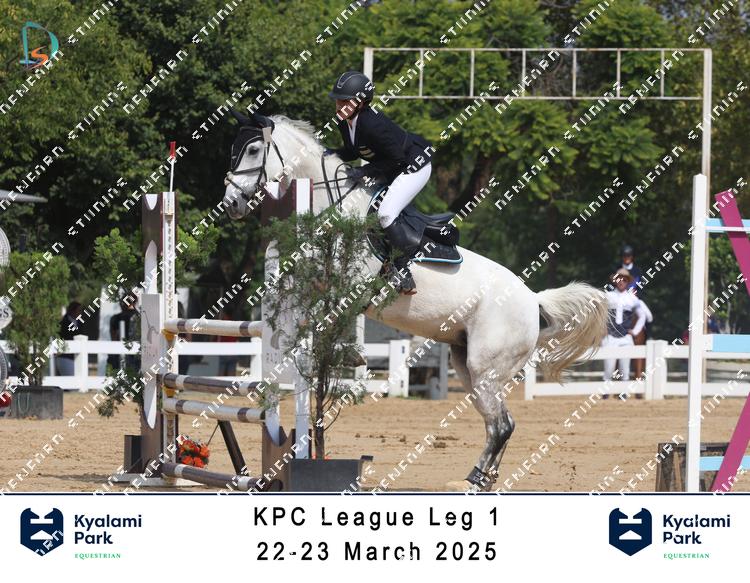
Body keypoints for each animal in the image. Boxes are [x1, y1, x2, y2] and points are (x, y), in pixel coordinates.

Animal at [222, 110, 608, 491]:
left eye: (253, 150)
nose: (231, 204)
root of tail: (532, 300)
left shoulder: (352, 280)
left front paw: (347, 353)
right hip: (467, 365)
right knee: (499, 422)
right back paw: (484, 479)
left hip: (487, 367)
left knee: (501, 425)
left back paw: (475, 481)